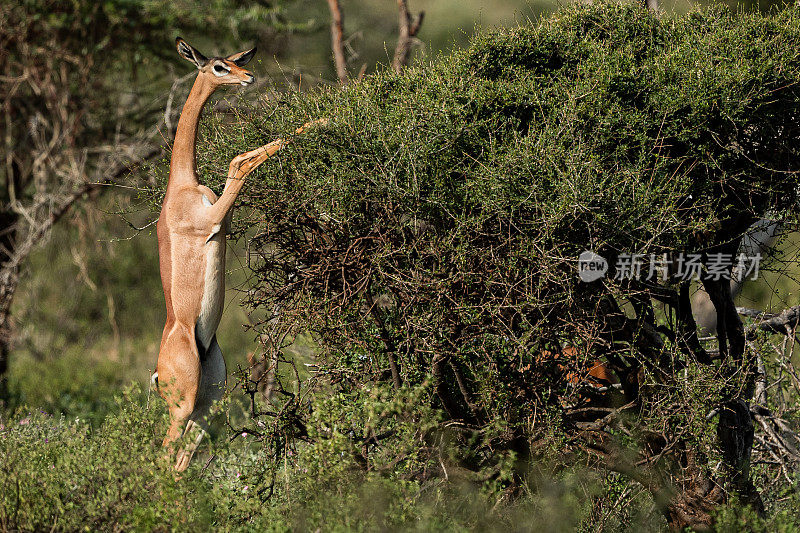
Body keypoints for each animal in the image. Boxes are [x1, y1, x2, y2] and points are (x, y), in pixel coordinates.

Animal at [156, 37, 318, 470]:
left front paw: (315, 124)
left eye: (233, 59)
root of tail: (157, 373)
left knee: (179, 463)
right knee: (162, 459)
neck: (181, 186)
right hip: (182, 408)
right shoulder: (212, 220)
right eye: (218, 67)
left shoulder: (221, 221)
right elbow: (240, 166)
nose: (248, 76)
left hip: (206, 405)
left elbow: (239, 159)